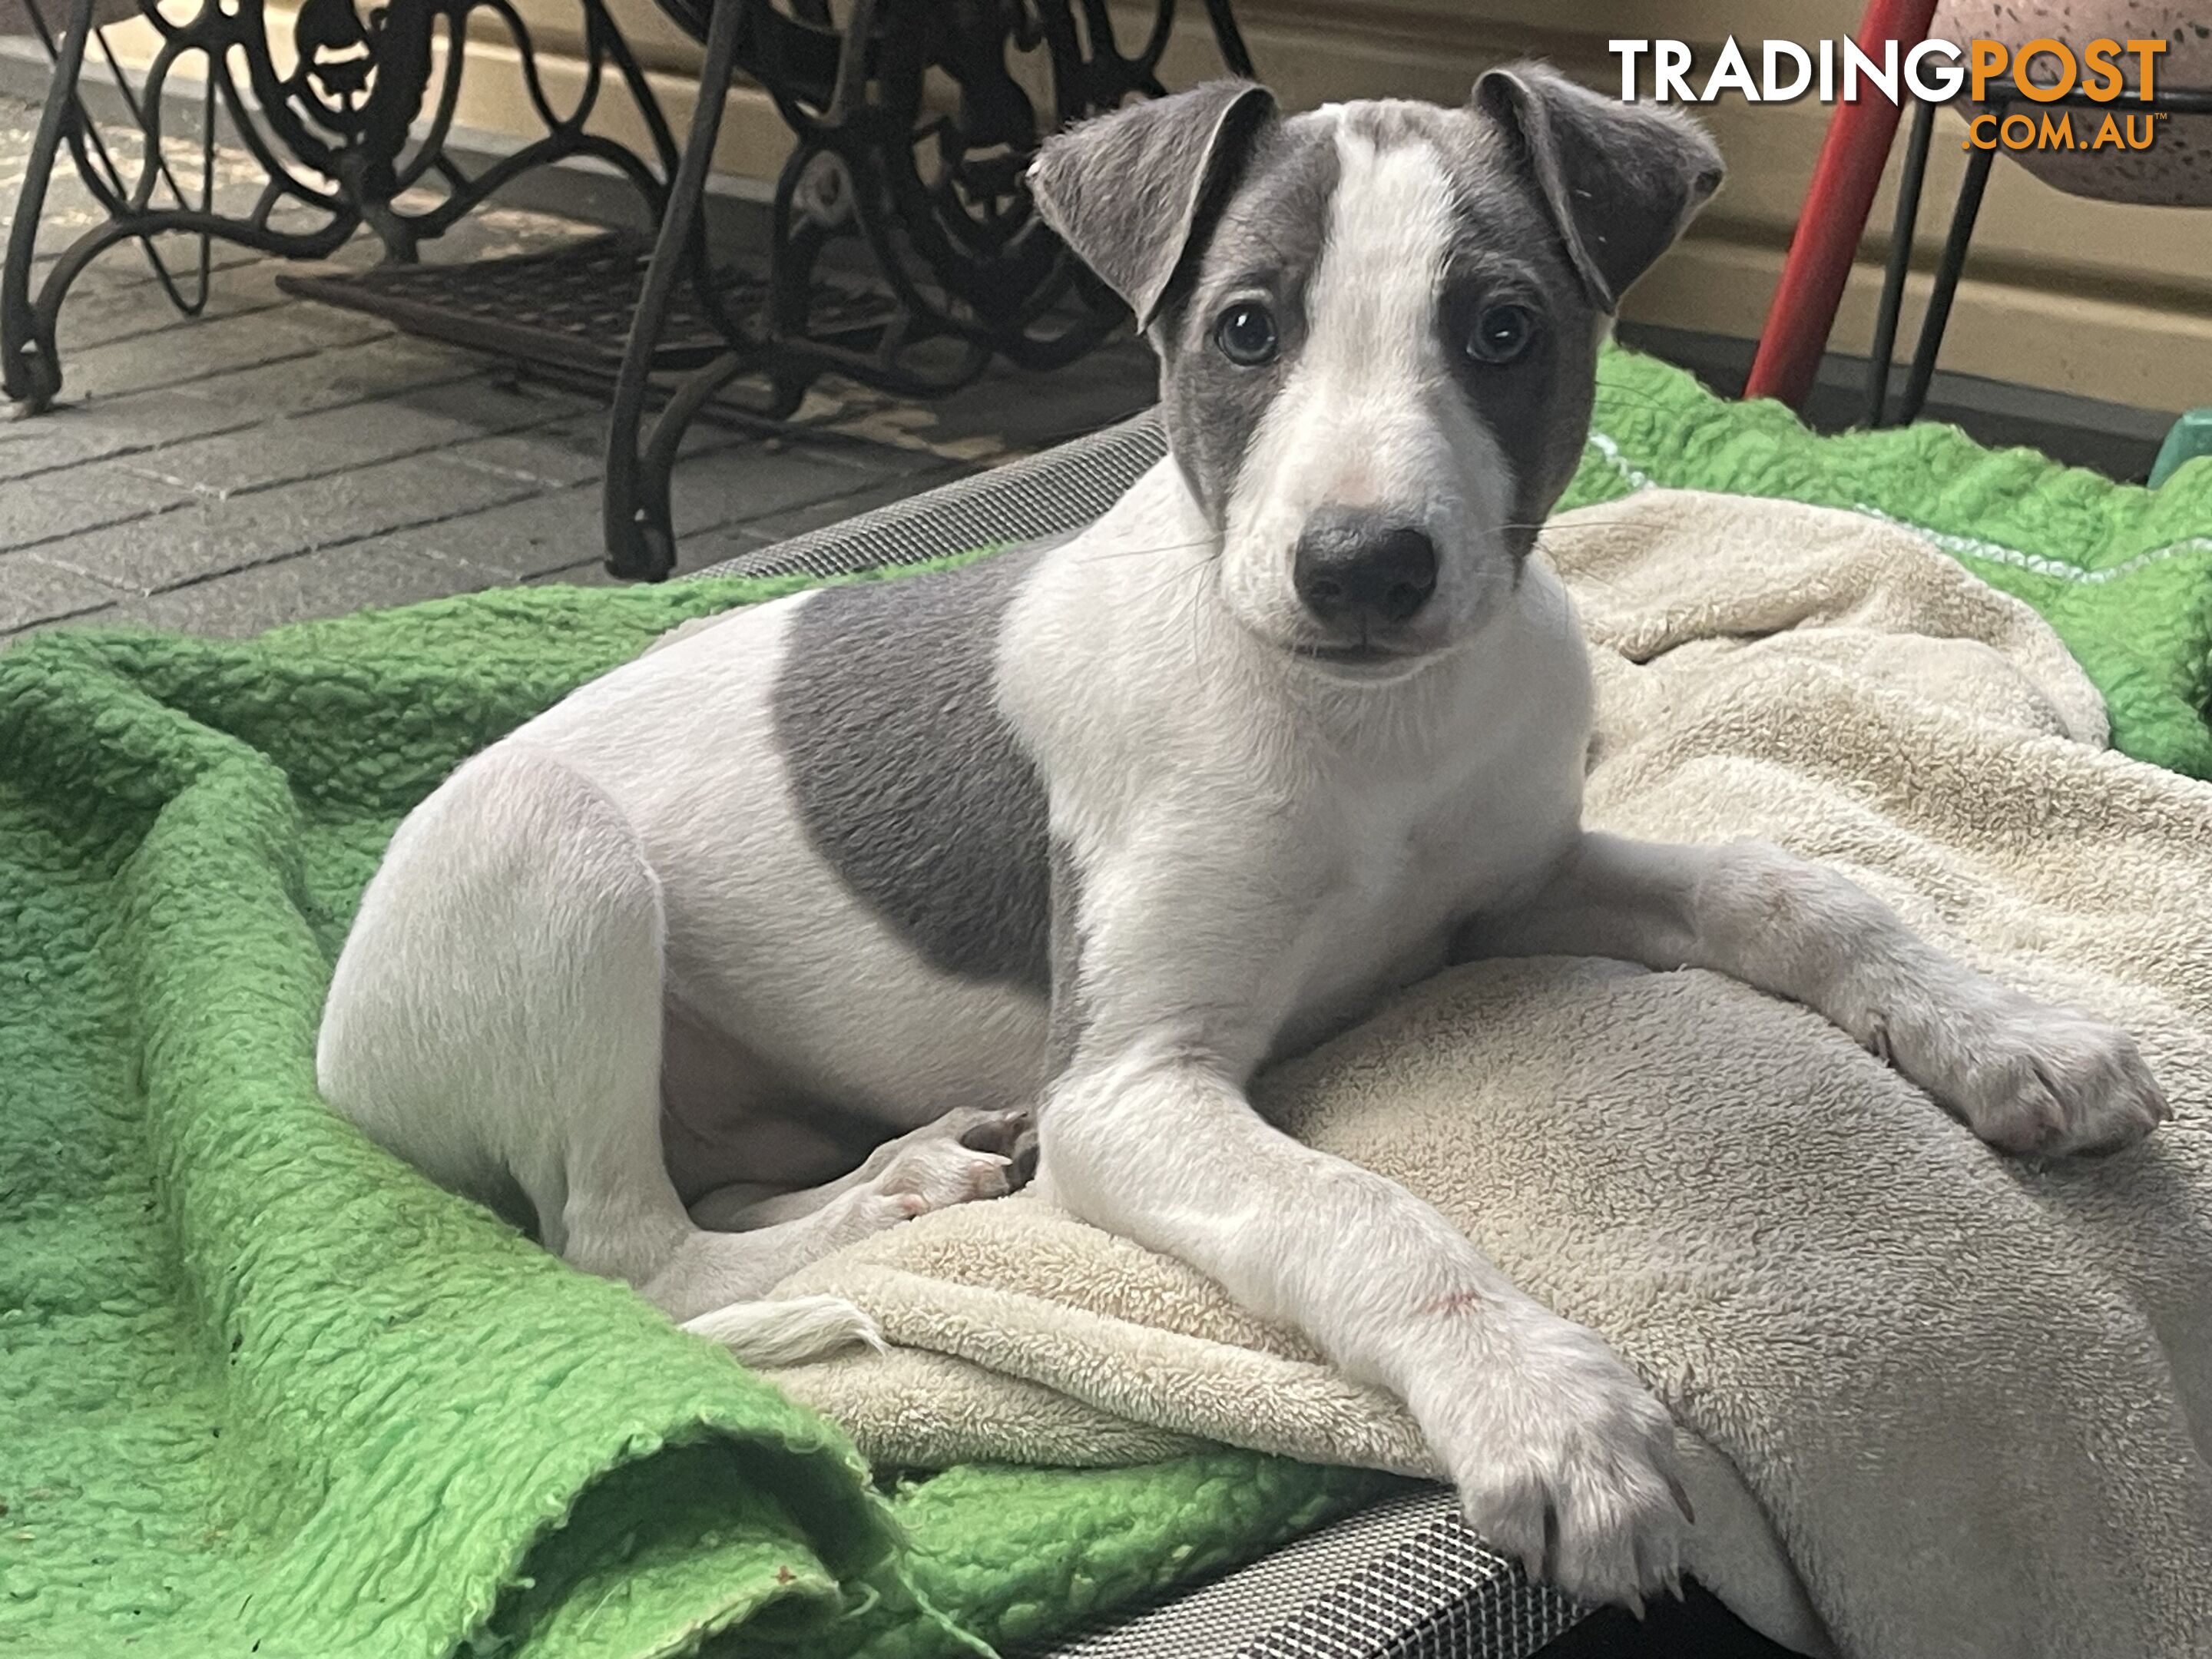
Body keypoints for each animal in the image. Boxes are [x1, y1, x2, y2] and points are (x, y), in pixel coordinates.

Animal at [320, 71, 2167, 1619]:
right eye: (1245, 329)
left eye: (1502, 328)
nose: (1362, 567)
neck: (1365, 732)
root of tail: (335, 1063)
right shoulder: (1129, 1087)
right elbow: (1363, 1211)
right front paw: (1549, 1414)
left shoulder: (1513, 888)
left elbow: (1800, 888)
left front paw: (2010, 1035)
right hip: (551, 858)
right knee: (630, 1251)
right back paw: (892, 1202)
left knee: (700, 1197)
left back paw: (892, 1168)